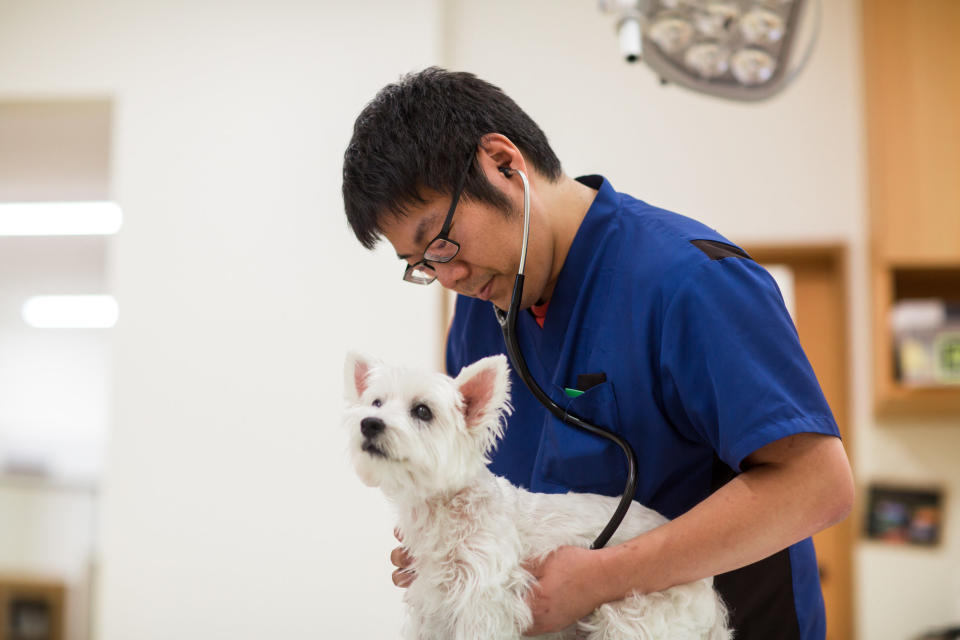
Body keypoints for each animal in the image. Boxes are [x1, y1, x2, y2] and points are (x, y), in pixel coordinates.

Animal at [344, 352, 728, 640]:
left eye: (422, 411)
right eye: (375, 402)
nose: (370, 423)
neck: (443, 507)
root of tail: (711, 599)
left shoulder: (483, 601)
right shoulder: (431, 603)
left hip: (632, 615)